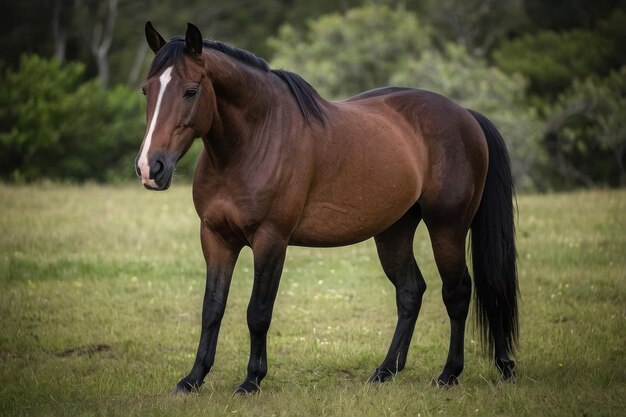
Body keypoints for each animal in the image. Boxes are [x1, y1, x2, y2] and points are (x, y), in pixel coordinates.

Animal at [135, 22, 516, 394]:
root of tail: (466, 115)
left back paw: (454, 373)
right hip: (394, 231)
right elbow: (212, 309)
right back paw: (386, 372)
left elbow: (258, 311)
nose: (150, 168)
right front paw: (192, 379)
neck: (255, 139)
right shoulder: (215, 237)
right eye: (146, 90)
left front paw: (251, 380)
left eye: (190, 91)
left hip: (446, 228)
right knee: (410, 292)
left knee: (459, 292)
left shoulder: (271, 240)